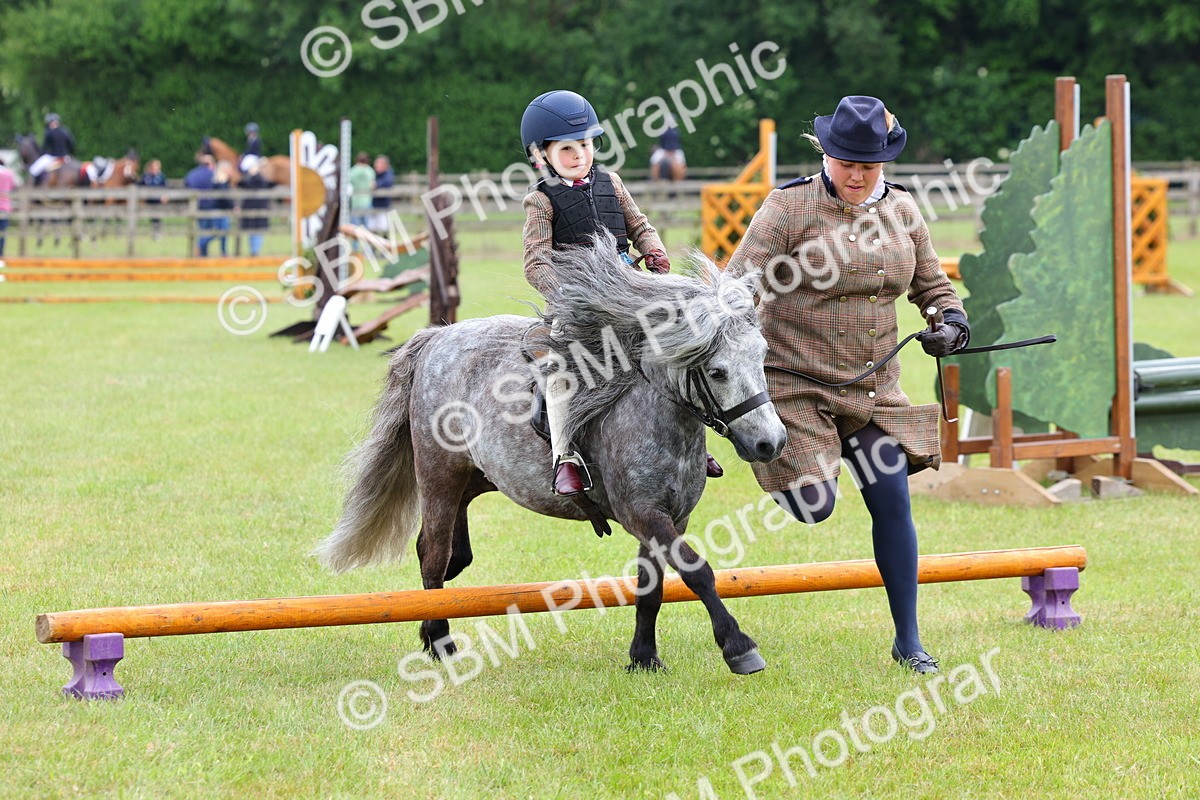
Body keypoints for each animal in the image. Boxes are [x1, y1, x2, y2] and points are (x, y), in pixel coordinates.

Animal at [316, 234, 788, 675]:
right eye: (717, 371)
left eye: (762, 355)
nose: (772, 443)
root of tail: (438, 336)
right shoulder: (643, 513)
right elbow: (697, 571)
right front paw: (738, 647)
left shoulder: (672, 516)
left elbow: (650, 587)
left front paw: (643, 657)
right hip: (439, 475)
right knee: (433, 555)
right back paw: (440, 640)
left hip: (478, 475)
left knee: (447, 549)